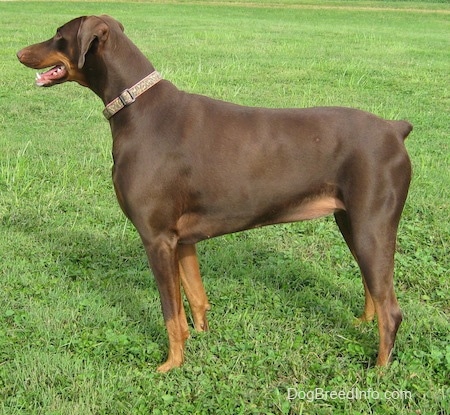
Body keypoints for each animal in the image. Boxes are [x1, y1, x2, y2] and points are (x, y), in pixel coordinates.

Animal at [17, 15, 412, 374]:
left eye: (58, 35)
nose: (19, 52)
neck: (137, 110)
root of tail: (395, 129)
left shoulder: (156, 238)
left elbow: (170, 312)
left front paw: (171, 365)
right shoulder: (182, 240)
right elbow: (194, 299)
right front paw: (200, 338)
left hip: (371, 226)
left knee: (391, 310)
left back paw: (378, 370)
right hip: (352, 222)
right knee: (373, 288)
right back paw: (360, 325)